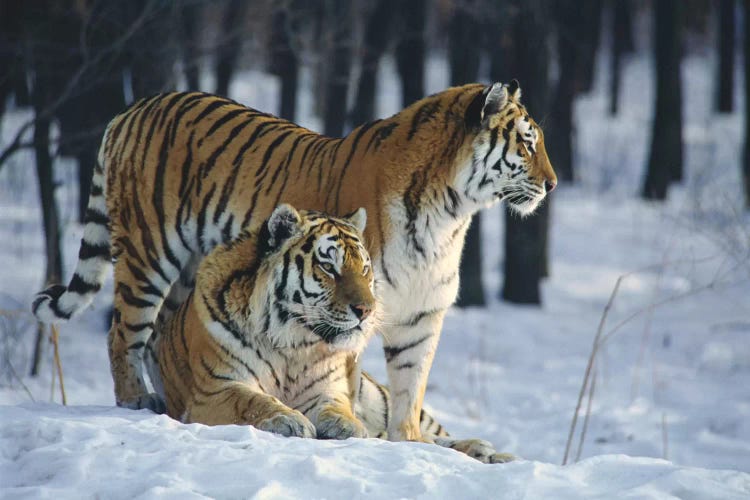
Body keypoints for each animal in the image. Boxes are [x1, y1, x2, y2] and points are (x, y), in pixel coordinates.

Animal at [145, 204, 512, 464]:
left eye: (365, 268)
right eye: (328, 267)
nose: (367, 310)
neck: (293, 345)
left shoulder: (329, 390)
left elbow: (338, 409)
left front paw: (347, 426)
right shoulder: (216, 388)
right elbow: (252, 400)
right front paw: (288, 420)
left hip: (385, 399)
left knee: (419, 434)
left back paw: (489, 451)